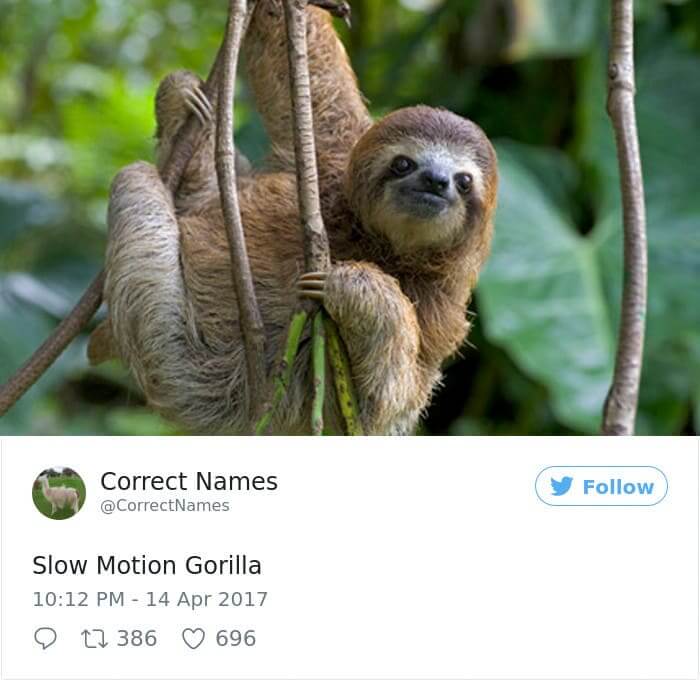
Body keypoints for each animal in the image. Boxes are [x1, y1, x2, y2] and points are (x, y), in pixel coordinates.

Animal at [93, 0, 498, 435]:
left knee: (135, 183)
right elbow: (314, 86)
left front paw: (353, 286)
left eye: (464, 181)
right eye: (404, 163)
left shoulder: (441, 308)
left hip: (172, 356)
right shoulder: (331, 166)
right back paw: (183, 104)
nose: (436, 181)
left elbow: (381, 401)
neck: (377, 242)